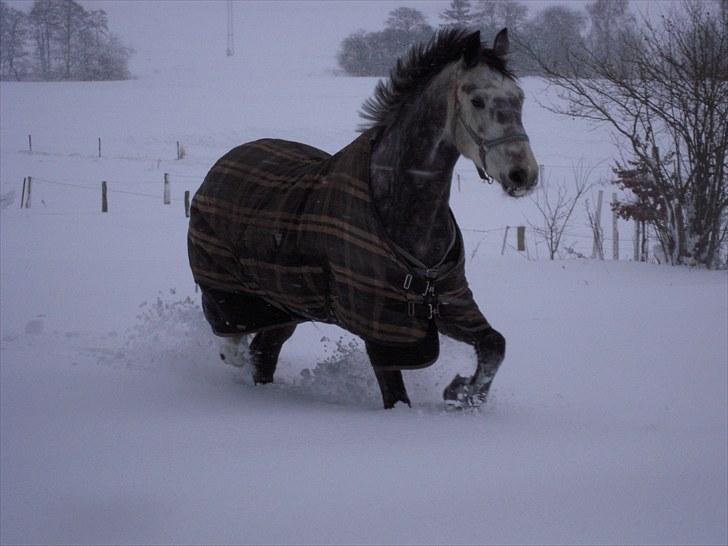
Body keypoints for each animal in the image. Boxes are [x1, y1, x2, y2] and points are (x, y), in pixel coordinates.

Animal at [188, 27, 536, 406]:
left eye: (519, 97)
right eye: (477, 100)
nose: (524, 175)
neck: (407, 211)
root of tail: (220, 166)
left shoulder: (449, 303)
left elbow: (494, 345)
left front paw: (460, 393)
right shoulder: (383, 330)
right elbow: (397, 397)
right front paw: (457, 392)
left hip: (285, 308)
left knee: (263, 354)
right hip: (235, 297)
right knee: (238, 347)